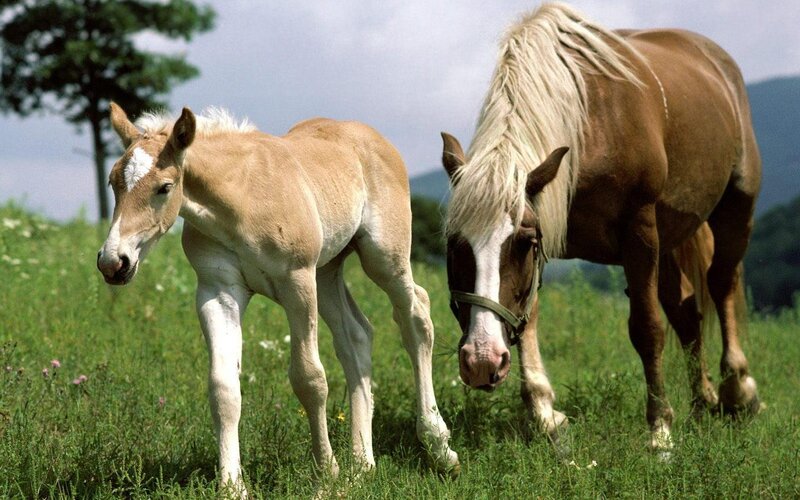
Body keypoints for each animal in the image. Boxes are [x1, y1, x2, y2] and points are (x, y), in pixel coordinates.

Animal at [96, 103, 459, 495]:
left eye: (164, 187)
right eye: (113, 182)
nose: (113, 262)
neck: (240, 200)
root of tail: (373, 138)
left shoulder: (296, 281)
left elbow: (309, 378)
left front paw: (326, 476)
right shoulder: (217, 291)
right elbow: (223, 387)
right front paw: (231, 487)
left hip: (382, 258)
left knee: (416, 316)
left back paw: (439, 446)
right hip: (326, 271)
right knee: (356, 335)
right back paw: (362, 465)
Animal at [440, 3, 761, 454]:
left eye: (521, 242)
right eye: (454, 245)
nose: (481, 360)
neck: (588, 124)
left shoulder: (638, 229)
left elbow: (646, 328)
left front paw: (660, 431)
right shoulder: (548, 228)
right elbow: (527, 315)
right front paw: (545, 413)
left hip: (735, 205)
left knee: (721, 283)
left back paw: (738, 389)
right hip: (670, 236)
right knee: (687, 311)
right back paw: (703, 402)